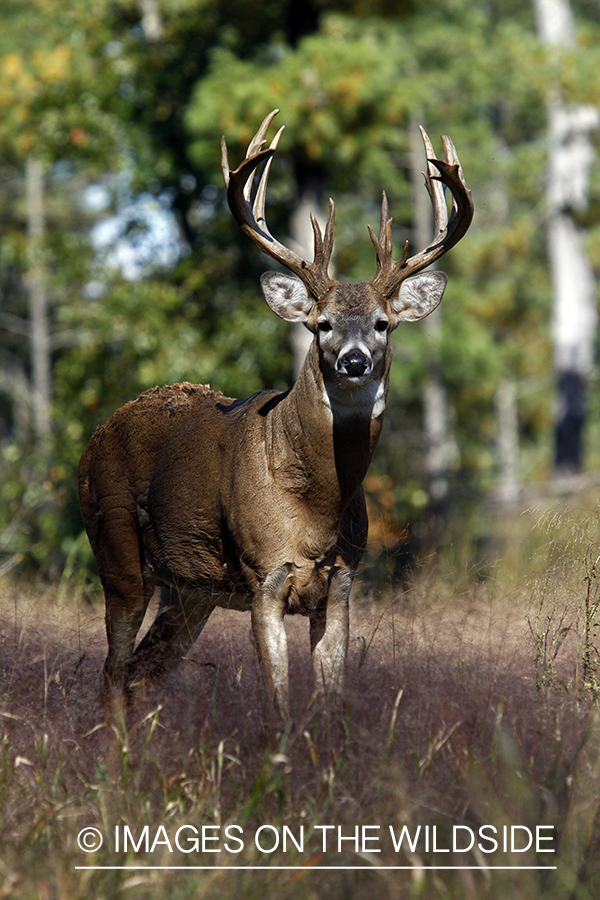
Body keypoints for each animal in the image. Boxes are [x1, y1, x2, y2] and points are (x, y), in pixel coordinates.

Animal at [79, 109, 474, 720]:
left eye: (383, 323)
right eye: (321, 324)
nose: (355, 360)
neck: (314, 508)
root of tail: (95, 437)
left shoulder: (342, 582)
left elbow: (331, 699)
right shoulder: (263, 573)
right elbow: (279, 699)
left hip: (190, 587)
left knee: (144, 673)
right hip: (115, 547)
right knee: (112, 672)